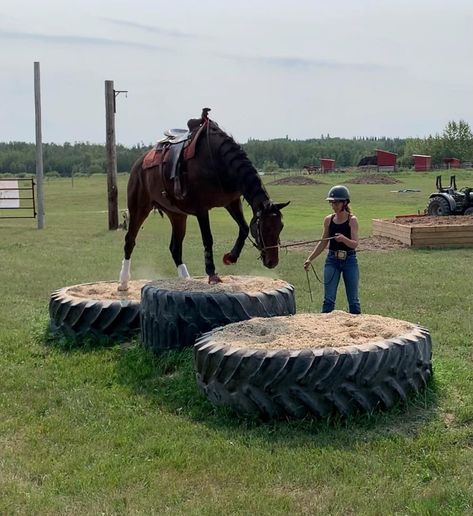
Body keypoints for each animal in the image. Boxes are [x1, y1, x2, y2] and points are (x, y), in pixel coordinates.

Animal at [117, 117, 288, 290]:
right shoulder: (201, 209)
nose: (272, 261)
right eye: (265, 228)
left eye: (280, 227)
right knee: (129, 241)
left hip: (177, 215)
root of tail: (138, 164)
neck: (218, 161)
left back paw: (185, 279)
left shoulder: (232, 202)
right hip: (139, 208)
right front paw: (212, 274)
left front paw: (231, 257)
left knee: (175, 248)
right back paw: (123, 281)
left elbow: (244, 228)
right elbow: (208, 239)